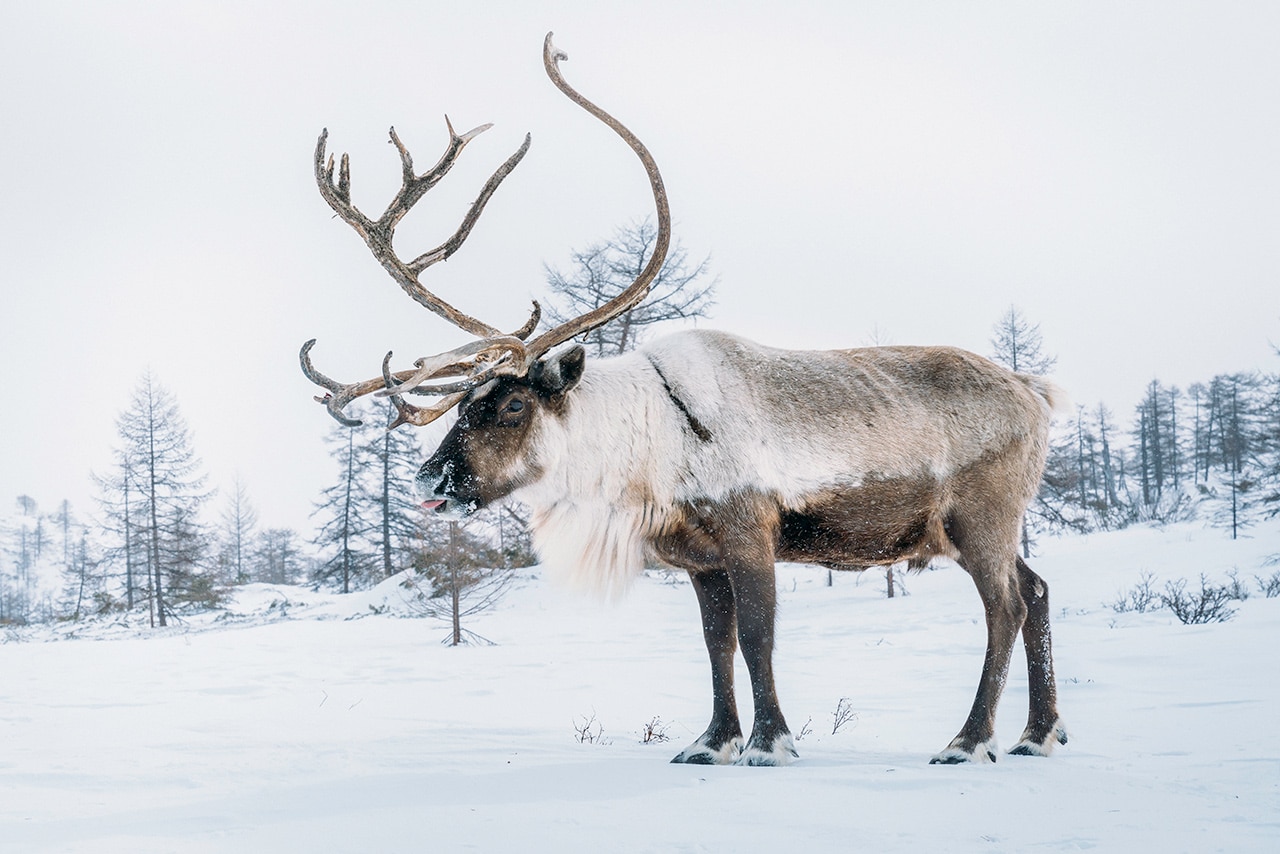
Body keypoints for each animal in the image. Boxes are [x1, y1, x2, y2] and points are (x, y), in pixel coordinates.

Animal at [301, 33, 1069, 766]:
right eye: (464, 404)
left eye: (514, 405)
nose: (431, 478)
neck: (647, 447)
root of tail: (1036, 393)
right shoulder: (699, 558)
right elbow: (714, 645)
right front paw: (711, 741)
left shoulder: (748, 530)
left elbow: (757, 637)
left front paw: (768, 744)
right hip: (975, 528)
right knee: (1036, 590)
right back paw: (1037, 734)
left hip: (982, 514)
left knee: (1005, 606)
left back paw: (968, 740)